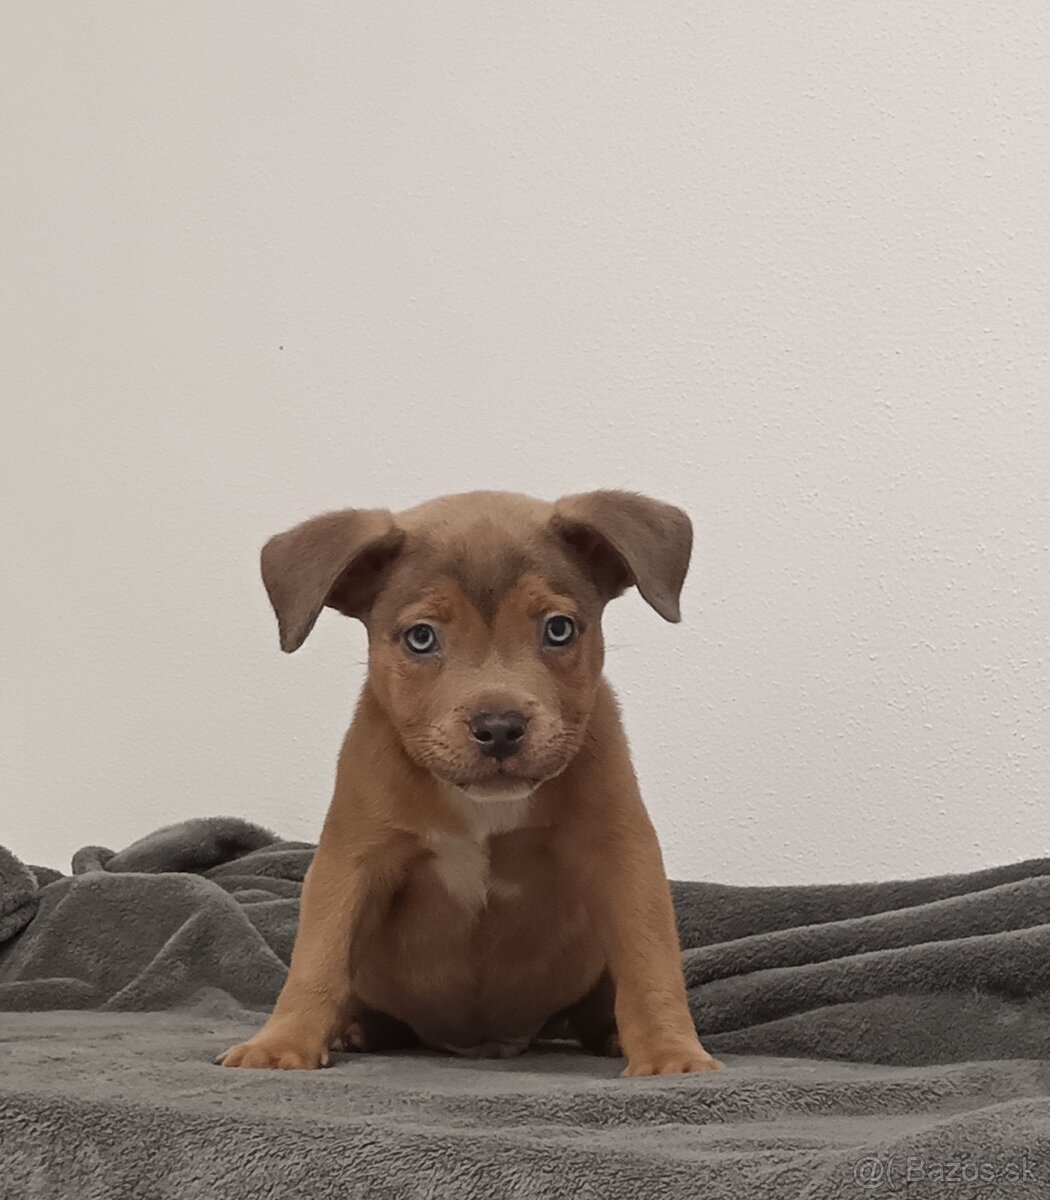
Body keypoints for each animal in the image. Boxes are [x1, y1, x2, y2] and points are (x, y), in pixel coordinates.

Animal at [218, 490, 721, 1077]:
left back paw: (611, 1033)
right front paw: (282, 1043)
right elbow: (318, 959)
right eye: (421, 638)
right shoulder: (350, 862)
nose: (499, 728)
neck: (483, 809)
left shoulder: (622, 855)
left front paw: (670, 1054)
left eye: (558, 629)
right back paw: (353, 1029)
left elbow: (649, 963)